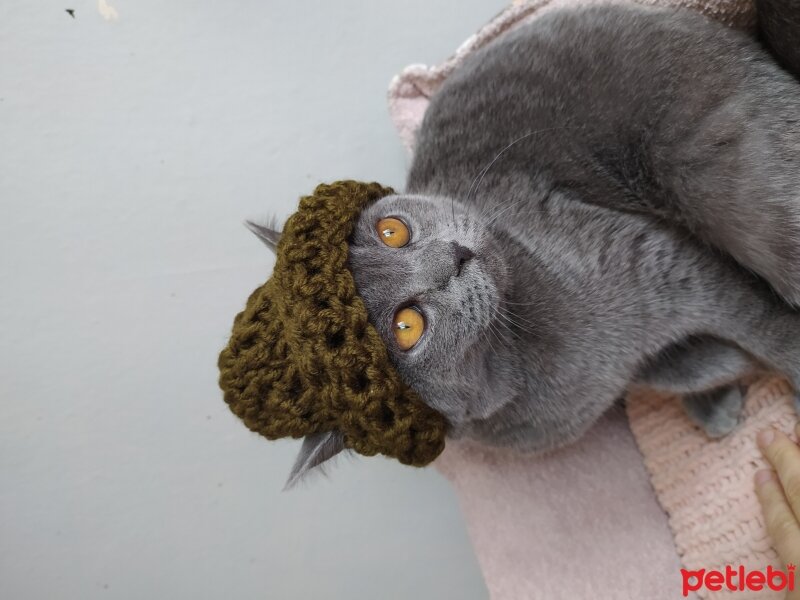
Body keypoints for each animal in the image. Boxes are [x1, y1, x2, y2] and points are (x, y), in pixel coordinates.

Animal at [250, 0, 800, 486]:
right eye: (407, 326)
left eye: (392, 231)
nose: (454, 258)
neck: (520, 359)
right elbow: (704, 358)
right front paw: (717, 401)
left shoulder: (664, 261)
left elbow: (760, 322)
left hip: (732, 182)